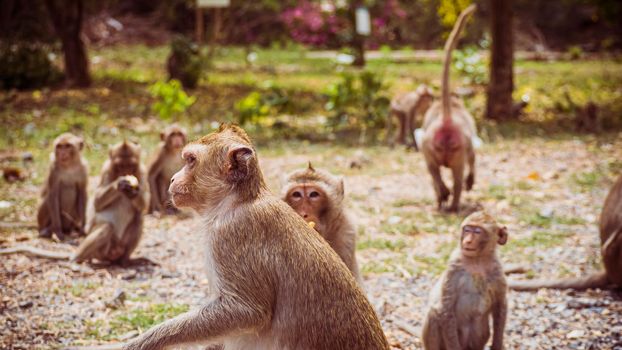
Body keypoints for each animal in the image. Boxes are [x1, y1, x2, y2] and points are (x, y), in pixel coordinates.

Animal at [0, 140, 150, 266]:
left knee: (138, 218)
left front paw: (132, 192)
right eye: (120, 166)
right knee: (107, 228)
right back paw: (78, 257)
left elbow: (144, 205)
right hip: (102, 252)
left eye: (130, 165)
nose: (126, 172)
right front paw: (120, 184)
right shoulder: (106, 169)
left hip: (119, 248)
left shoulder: (142, 171)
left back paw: (125, 261)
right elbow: (97, 202)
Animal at [123, 124, 390, 350]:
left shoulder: (231, 235)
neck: (235, 200)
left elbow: (247, 311)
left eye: (190, 160)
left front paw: (145, 342)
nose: (173, 178)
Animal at [422, 4, 480, 213]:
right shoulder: (468, 145)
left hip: (428, 146)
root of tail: (446, 121)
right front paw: (469, 182)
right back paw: (454, 202)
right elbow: (473, 159)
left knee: (433, 172)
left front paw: (441, 196)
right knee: (458, 177)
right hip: (460, 148)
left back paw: (443, 196)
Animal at [422, 211, 510, 350]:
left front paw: (497, 344)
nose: (467, 241)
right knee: (434, 313)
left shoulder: (497, 269)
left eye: (478, 231)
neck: (477, 261)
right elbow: (446, 309)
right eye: (467, 229)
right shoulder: (454, 266)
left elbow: (500, 304)